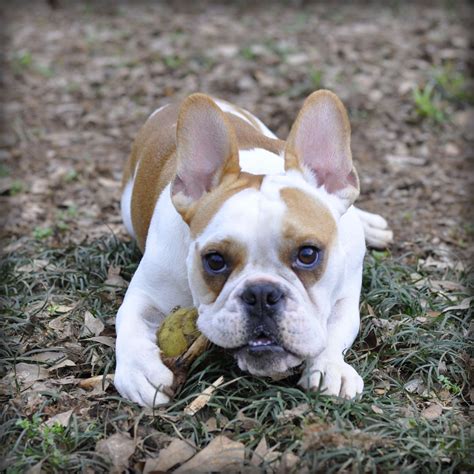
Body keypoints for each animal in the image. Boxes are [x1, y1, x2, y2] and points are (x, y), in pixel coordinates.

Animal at [113, 90, 390, 406]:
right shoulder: (146, 292)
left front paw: (330, 367)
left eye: (308, 254)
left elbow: (335, 329)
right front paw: (140, 370)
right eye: (215, 260)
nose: (261, 294)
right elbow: (129, 322)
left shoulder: (344, 295)